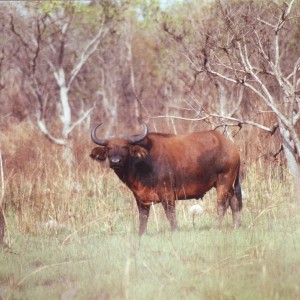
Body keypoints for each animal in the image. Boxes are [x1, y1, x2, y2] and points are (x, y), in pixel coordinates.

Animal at [90, 121, 243, 234]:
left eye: (125, 147)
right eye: (109, 148)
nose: (115, 161)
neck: (143, 164)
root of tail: (232, 147)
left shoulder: (167, 194)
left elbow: (170, 214)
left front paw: (175, 231)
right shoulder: (140, 197)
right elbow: (143, 217)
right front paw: (141, 234)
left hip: (224, 181)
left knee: (222, 205)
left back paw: (215, 227)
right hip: (229, 184)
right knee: (234, 202)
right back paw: (236, 226)